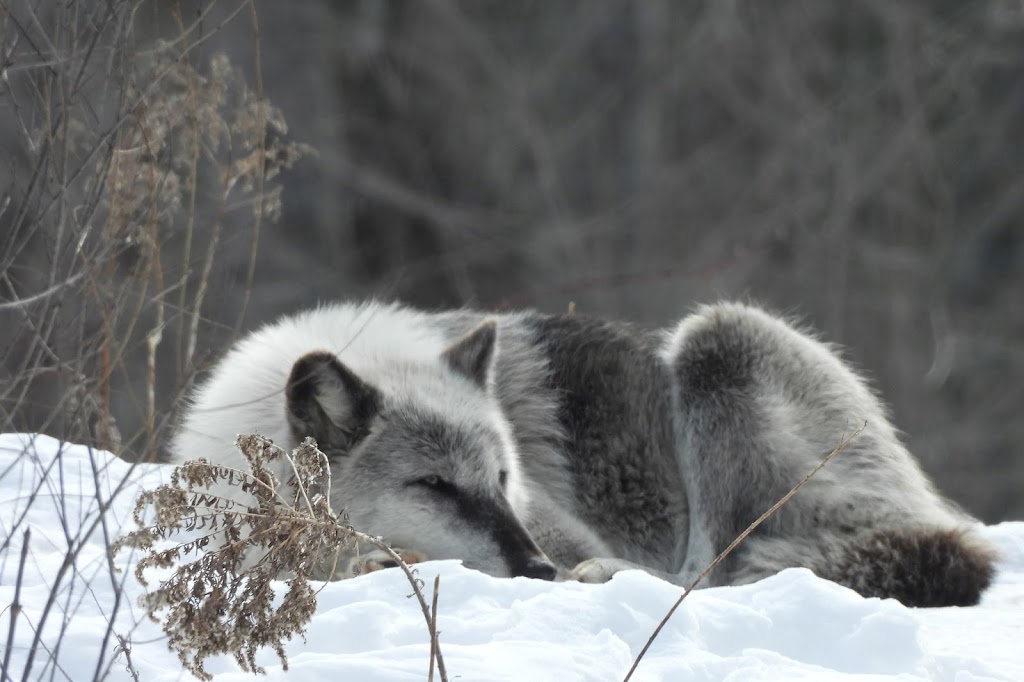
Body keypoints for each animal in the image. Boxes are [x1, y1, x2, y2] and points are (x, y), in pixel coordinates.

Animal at [172, 301, 995, 602]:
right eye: (435, 486)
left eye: (503, 479)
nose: (538, 568)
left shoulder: (554, 526)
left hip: (717, 337)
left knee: (710, 575)